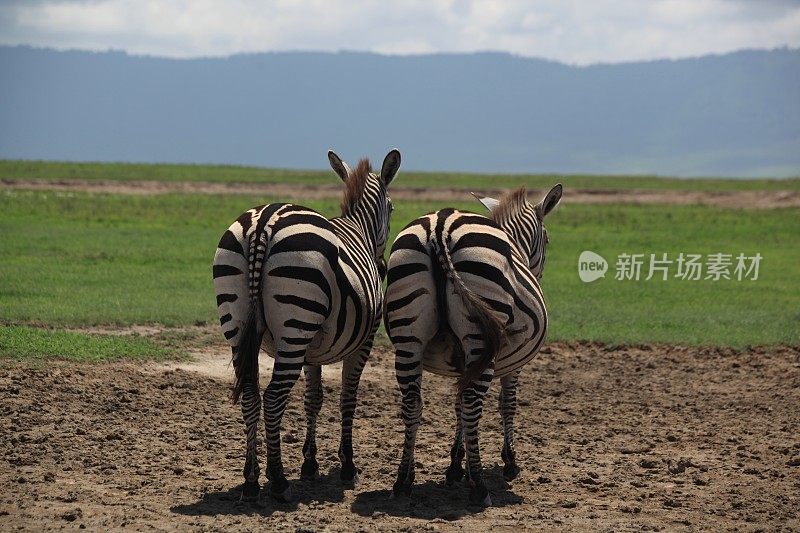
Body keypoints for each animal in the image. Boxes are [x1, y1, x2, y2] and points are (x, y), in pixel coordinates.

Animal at [212, 148, 400, 500]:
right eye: (393, 208)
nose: (382, 267)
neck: (359, 228)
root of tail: (264, 223)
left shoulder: (313, 350)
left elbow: (313, 399)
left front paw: (310, 464)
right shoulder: (364, 341)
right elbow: (347, 399)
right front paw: (348, 466)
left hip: (239, 327)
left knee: (250, 396)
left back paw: (251, 481)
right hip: (295, 327)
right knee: (273, 398)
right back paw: (278, 480)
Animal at [382, 185, 560, 504]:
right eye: (548, 239)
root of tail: (440, 226)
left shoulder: (460, 362)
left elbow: (456, 406)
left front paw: (455, 464)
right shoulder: (511, 365)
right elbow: (507, 404)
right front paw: (508, 461)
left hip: (408, 338)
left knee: (413, 403)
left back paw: (403, 481)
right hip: (482, 338)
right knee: (472, 402)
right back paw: (479, 486)